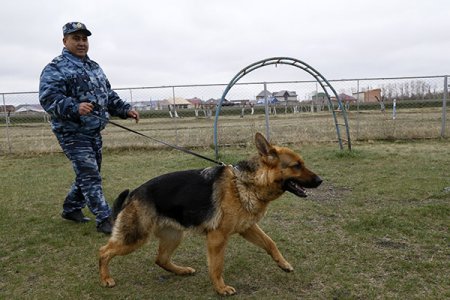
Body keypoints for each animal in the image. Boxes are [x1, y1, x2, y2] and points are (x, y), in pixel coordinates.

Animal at [99, 132, 324, 296]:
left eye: (302, 163)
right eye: (296, 166)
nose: (320, 180)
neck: (245, 183)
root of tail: (135, 193)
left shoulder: (247, 228)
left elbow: (270, 243)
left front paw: (283, 264)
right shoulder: (218, 237)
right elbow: (217, 266)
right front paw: (221, 288)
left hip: (173, 236)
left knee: (160, 259)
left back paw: (182, 270)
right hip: (135, 237)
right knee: (104, 251)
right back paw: (105, 279)